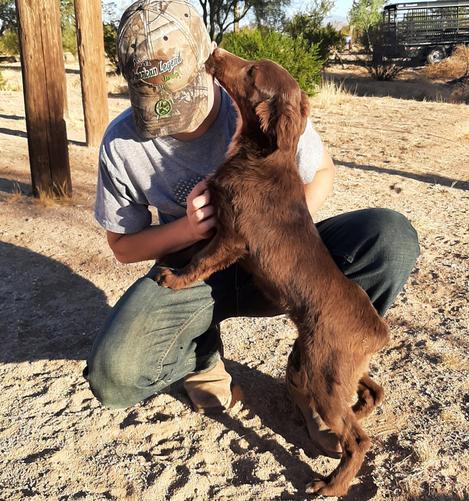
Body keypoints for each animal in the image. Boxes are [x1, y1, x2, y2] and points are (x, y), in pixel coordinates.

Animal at [155, 47, 390, 496]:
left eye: (250, 72)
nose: (215, 50)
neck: (261, 155)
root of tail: (377, 331)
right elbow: (195, 245)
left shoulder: (232, 237)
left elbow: (201, 260)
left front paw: (173, 278)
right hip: (336, 369)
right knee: (372, 389)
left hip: (322, 374)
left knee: (358, 439)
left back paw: (330, 486)